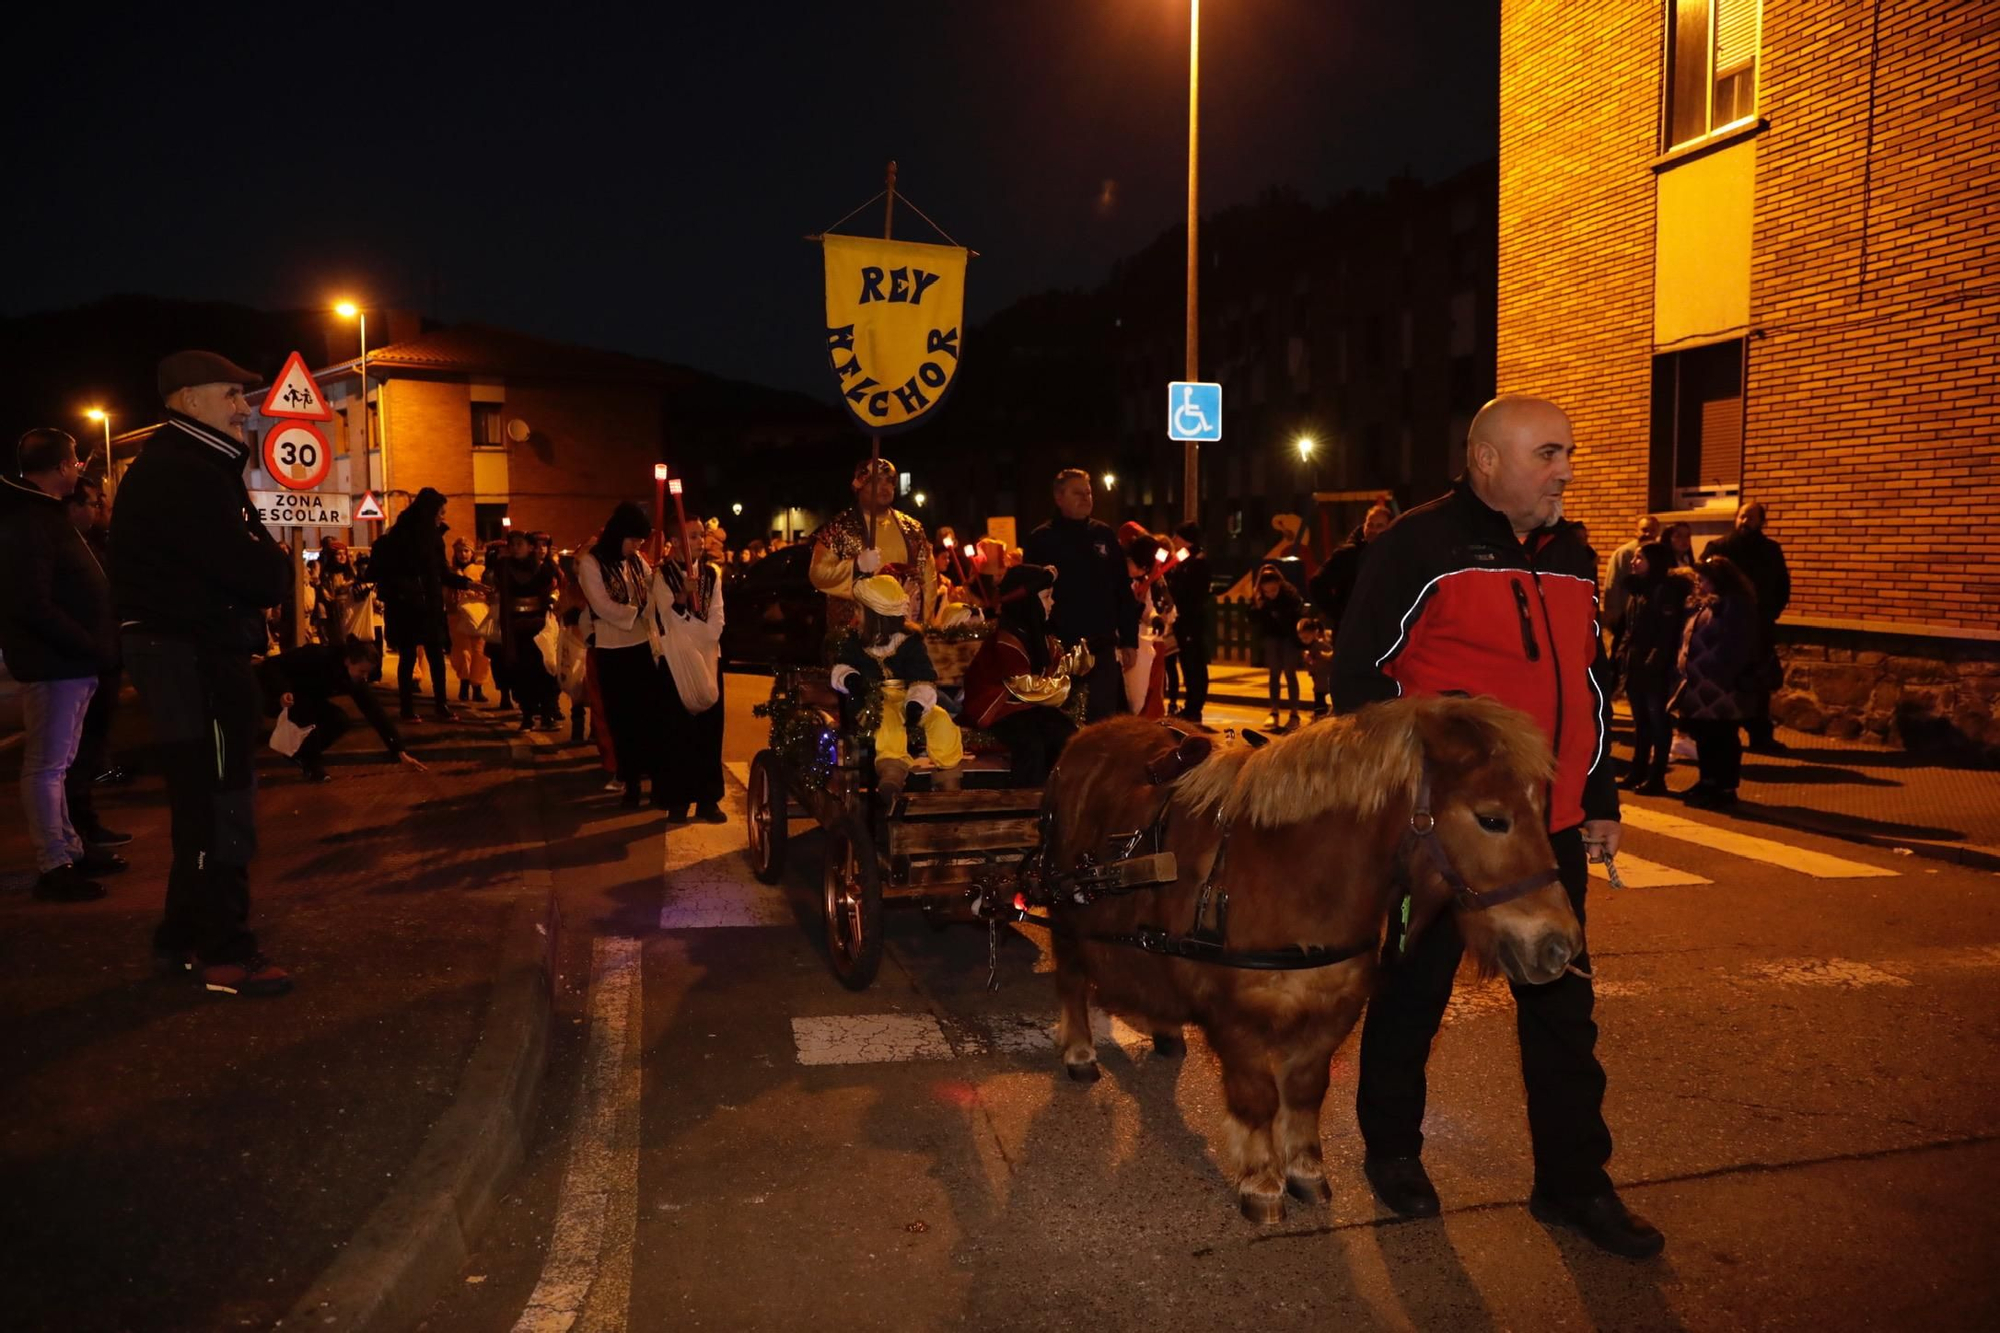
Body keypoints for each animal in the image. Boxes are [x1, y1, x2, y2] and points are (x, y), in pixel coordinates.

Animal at [1048, 688, 1576, 1216]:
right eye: (1493, 820)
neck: (1291, 877)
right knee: (1071, 978)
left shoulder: (1333, 1013)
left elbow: (1305, 1092)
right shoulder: (1236, 1020)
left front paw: (1305, 1169)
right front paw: (1262, 1180)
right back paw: (1079, 1051)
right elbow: (1258, 1097)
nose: (1560, 945)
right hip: (1065, 916)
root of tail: (1088, 733)